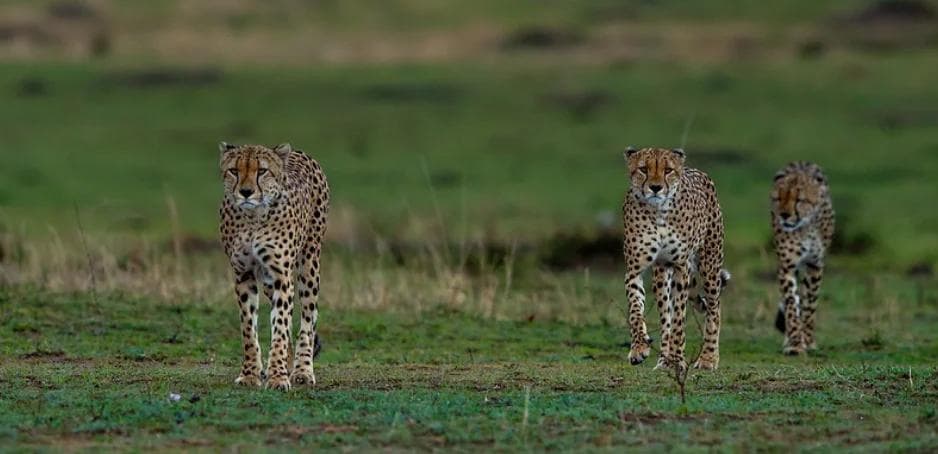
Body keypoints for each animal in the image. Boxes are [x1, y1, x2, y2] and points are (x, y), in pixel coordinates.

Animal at [218, 142, 329, 391]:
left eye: (262, 171)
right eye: (234, 171)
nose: (246, 192)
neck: (253, 217)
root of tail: (297, 151)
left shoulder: (281, 276)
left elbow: (280, 326)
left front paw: (278, 377)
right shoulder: (243, 274)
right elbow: (248, 328)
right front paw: (250, 374)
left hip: (309, 263)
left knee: (308, 317)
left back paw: (302, 370)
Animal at [622, 146, 729, 371]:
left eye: (668, 170)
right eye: (643, 169)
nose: (655, 188)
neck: (658, 212)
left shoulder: (681, 268)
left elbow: (680, 318)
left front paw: (679, 359)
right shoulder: (635, 270)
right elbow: (636, 311)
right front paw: (639, 348)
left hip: (710, 264)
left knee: (714, 309)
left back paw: (708, 358)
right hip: (661, 274)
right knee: (665, 317)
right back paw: (664, 360)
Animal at [771, 161, 834, 355]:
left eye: (799, 200)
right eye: (778, 198)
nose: (784, 215)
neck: (806, 227)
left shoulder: (815, 264)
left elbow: (810, 304)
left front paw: (808, 340)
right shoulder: (787, 265)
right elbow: (792, 303)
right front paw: (795, 343)